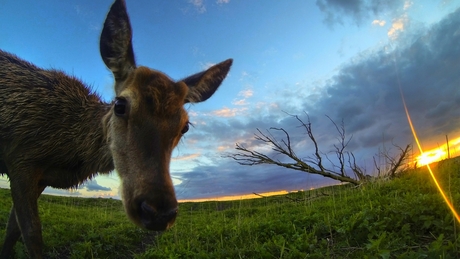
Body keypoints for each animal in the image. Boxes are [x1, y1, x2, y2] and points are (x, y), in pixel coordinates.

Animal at [0, 0, 234, 258]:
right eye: (120, 105)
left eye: (185, 126)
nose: (158, 212)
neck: (68, 150)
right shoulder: (21, 159)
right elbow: (31, 235)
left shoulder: (37, 175)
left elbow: (13, 230)